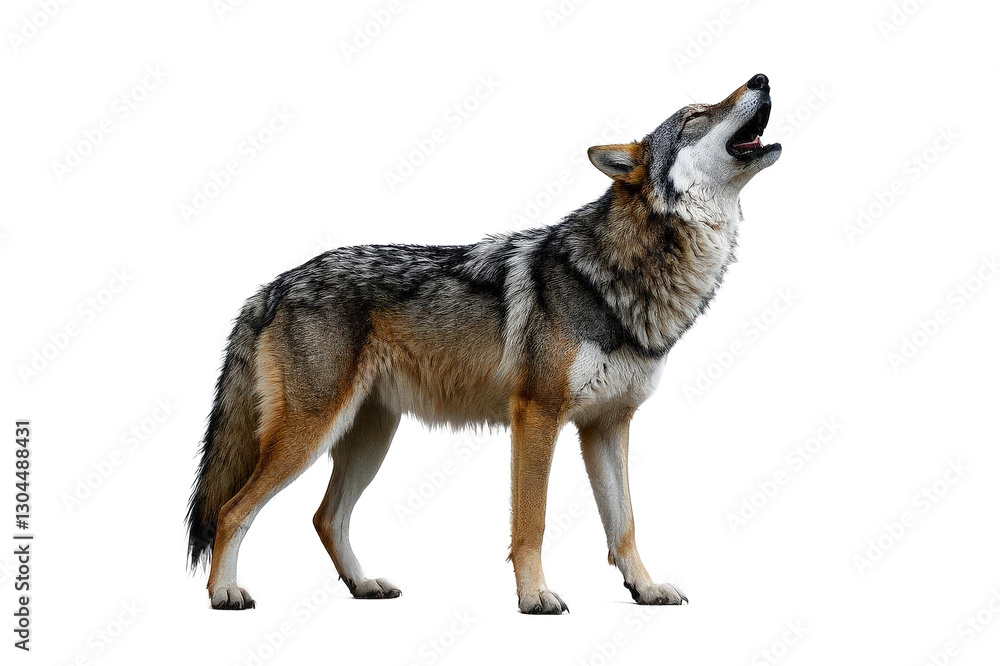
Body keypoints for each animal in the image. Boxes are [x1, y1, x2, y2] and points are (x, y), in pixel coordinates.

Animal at [187, 74, 781, 614]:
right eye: (696, 115)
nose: (762, 78)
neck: (618, 272)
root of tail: (274, 284)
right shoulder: (537, 415)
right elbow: (532, 521)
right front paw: (535, 596)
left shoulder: (608, 425)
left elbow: (625, 524)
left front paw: (646, 588)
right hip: (310, 435)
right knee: (233, 510)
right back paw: (225, 594)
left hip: (371, 437)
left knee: (325, 517)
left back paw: (364, 586)